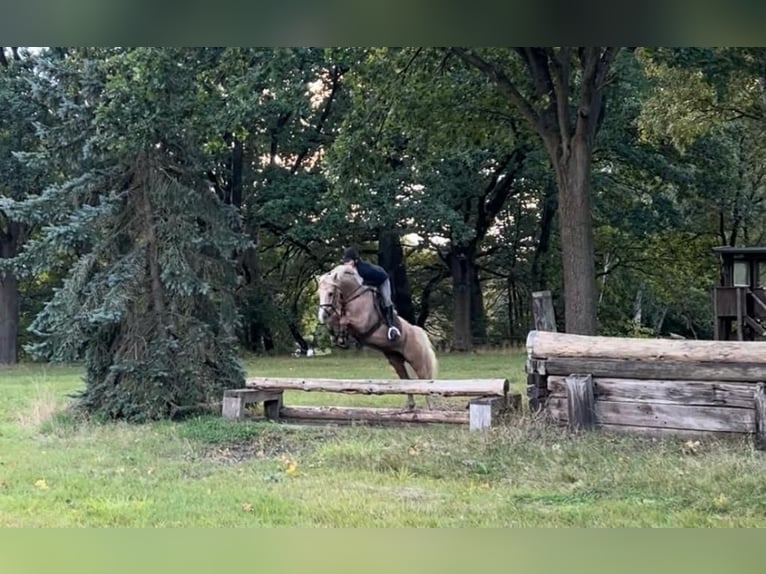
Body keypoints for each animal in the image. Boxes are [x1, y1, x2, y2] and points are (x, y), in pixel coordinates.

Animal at [316, 266, 438, 410]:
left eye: (330, 293)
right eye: (318, 294)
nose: (322, 316)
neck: (353, 296)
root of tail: (417, 330)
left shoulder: (362, 323)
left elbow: (344, 320)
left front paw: (341, 336)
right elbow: (335, 320)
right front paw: (337, 337)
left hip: (416, 360)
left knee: (425, 380)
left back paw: (431, 407)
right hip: (396, 360)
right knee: (406, 380)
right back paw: (410, 405)